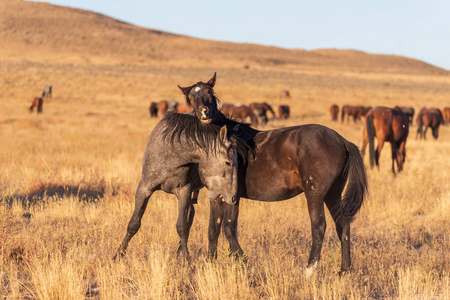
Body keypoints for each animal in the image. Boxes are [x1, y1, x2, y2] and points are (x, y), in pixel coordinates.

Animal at [178, 74, 368, 276]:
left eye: (209, 92)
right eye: (191, 97)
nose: (204, 113)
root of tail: (342, 140)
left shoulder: (232, 196)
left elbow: (228, 228)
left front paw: (244, 262)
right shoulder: (216, 196)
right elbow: (213, 229)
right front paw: (211, 263)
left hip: (315, 194)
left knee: (319, 226)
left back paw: (308, 270)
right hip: (332, 194)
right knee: (343, 225)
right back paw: (344, 270)